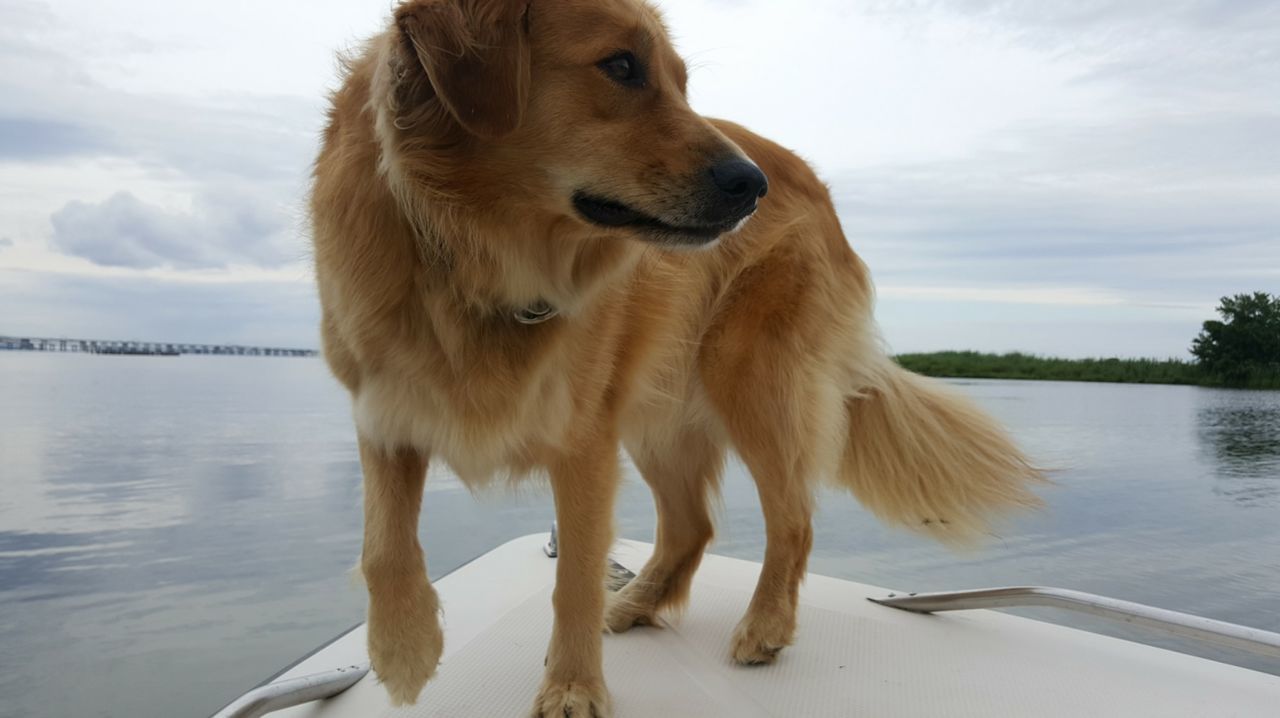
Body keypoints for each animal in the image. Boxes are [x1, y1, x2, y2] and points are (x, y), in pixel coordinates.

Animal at [309, 0, 1039, 711]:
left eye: (682, 83)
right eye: (621, 66)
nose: (753, 186)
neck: (468, 252)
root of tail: (811, 180)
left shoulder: (582, 437)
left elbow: (576, 574)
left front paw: (573, 687)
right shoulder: (383, 405)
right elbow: (383, 544)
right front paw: (403, 651)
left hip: (751, 382)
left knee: (793, 520)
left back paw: (765, 624)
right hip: (656, 415)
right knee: (692, 525)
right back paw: (635, 603)